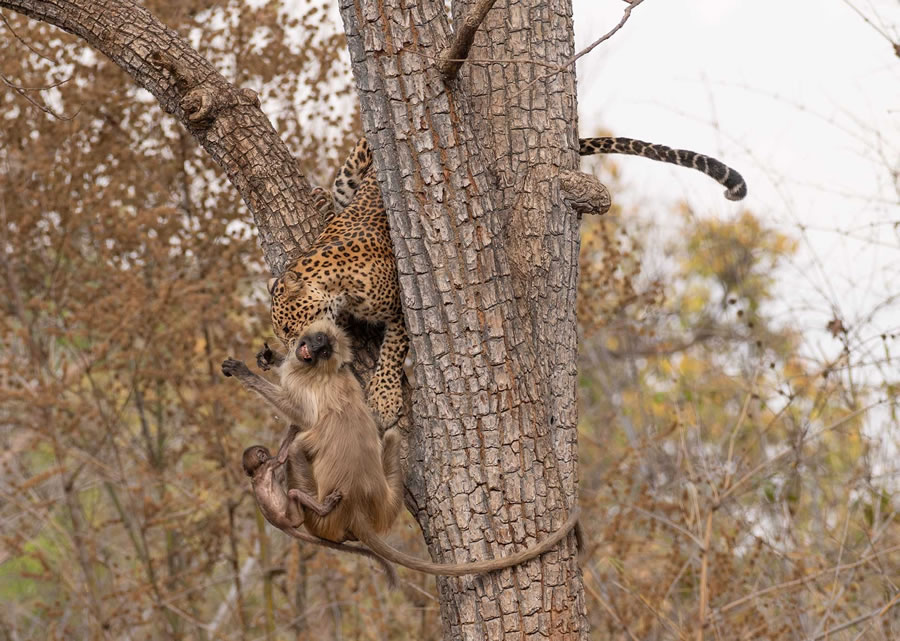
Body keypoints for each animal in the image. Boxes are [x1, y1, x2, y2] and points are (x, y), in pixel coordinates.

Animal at [268, 135, 744, 424]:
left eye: (291, 326)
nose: (295, 347)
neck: (335, 283)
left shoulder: (405, 302)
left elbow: (391, 351)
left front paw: (385, 401)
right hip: (350, 176)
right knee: (339, 193)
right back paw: (320, 200)